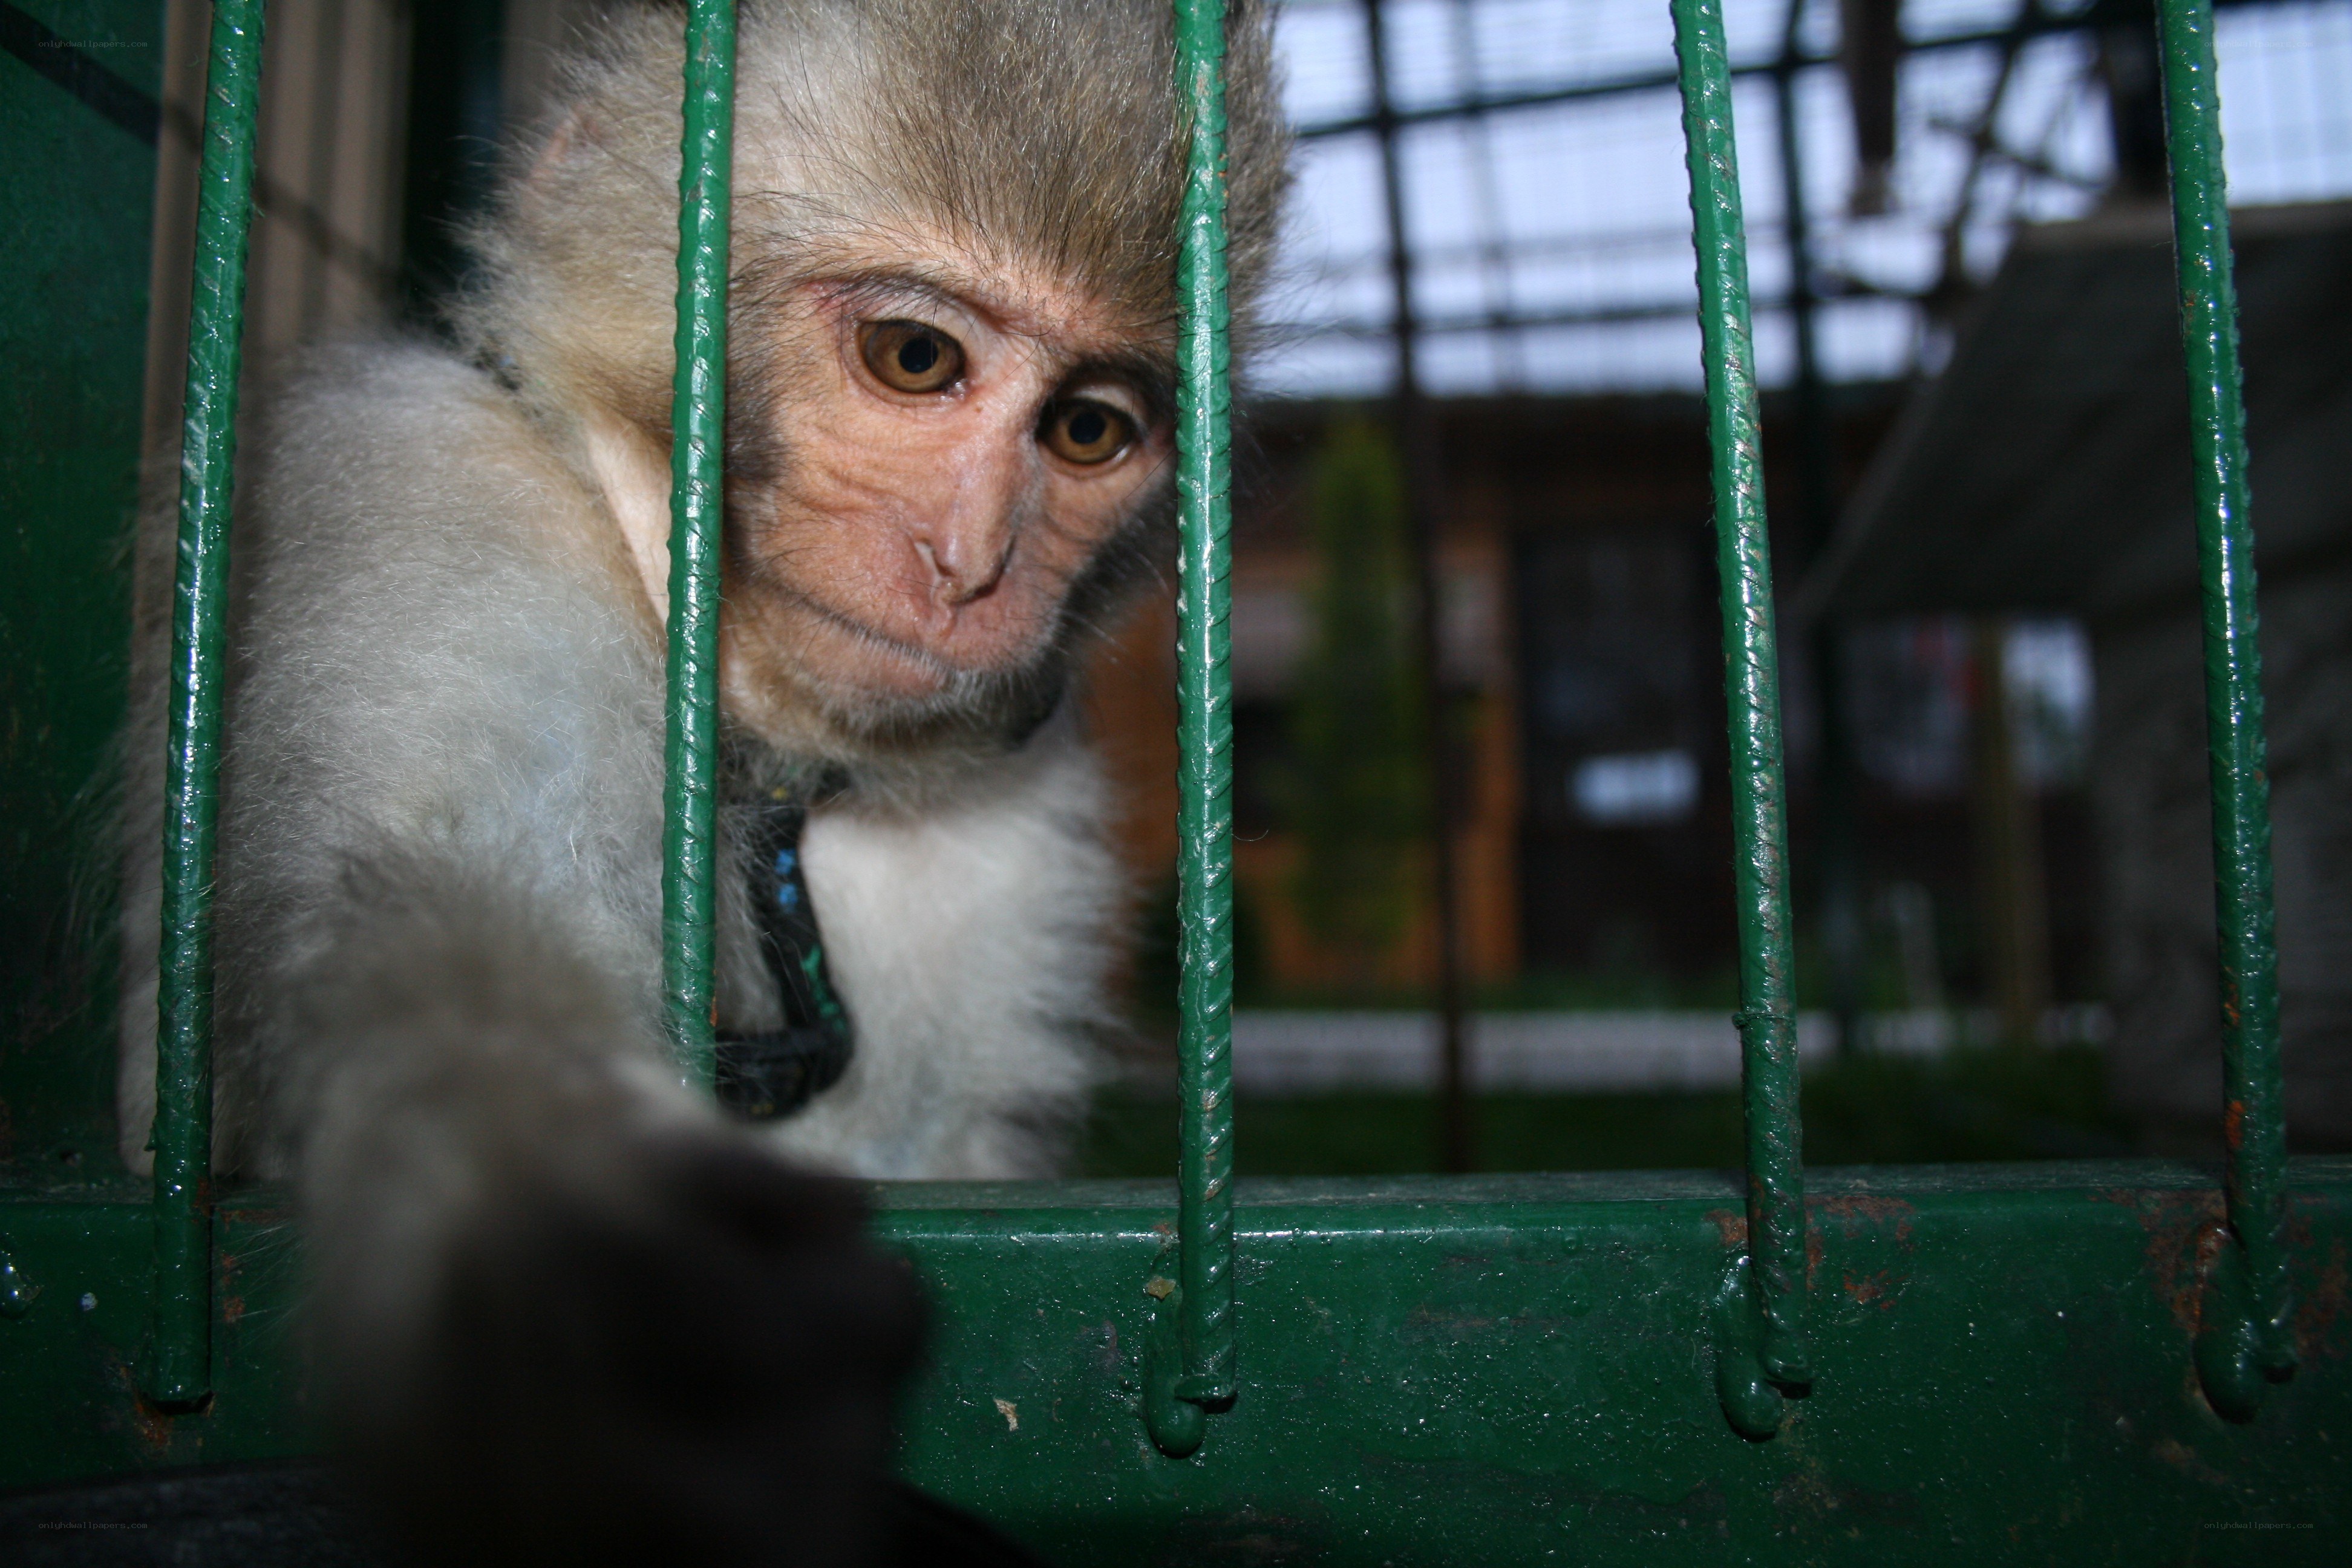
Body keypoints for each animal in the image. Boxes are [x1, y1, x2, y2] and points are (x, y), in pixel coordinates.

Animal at [112, 1, 1287, 1560]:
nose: (975, 567)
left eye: (1088, 430)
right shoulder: (416, 484)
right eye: (916, 357)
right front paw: (576, 1268)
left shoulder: (1017, 804)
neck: (757, 737)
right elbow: (430, 900)